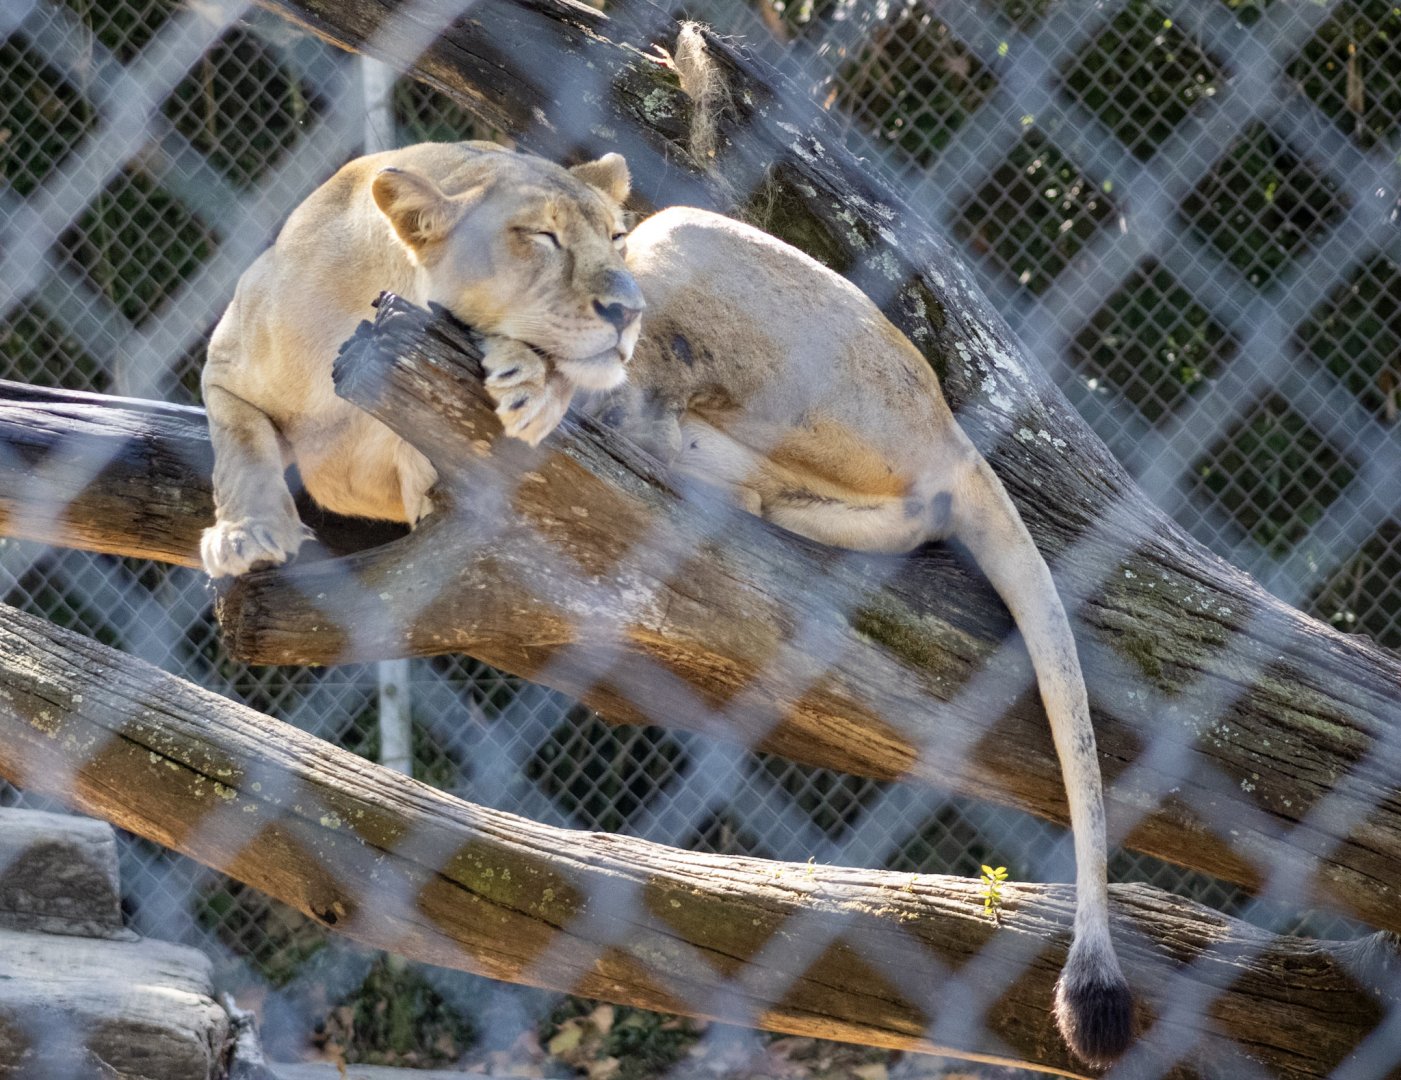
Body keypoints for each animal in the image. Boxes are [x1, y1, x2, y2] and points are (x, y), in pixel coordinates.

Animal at [198, 141, 1131, 1066]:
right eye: (539, 236)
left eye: (607, 236)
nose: (622, 308)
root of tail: (952, 424)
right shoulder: (229, 361)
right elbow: (235, 435)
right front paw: (243, 532)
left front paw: (520, 381)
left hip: (690, 245)